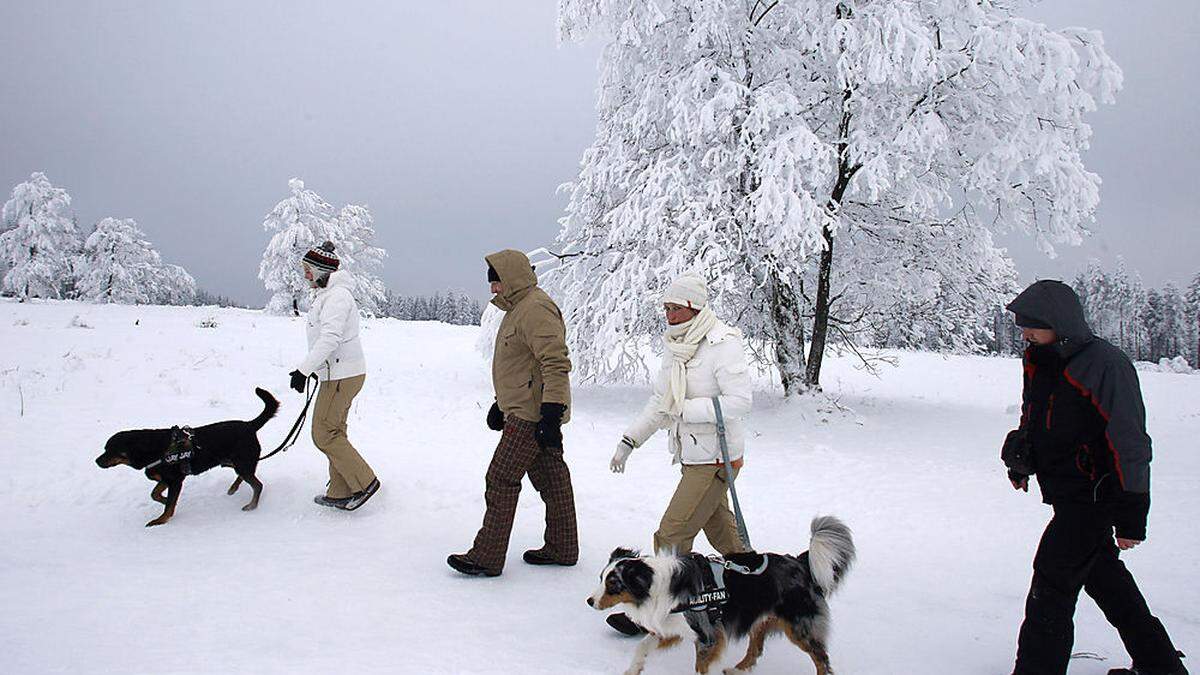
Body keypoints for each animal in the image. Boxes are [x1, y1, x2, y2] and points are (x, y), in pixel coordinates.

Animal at [96, 386, 280, 523]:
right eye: (105, 448)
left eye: (111, 450)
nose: (96, 461)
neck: (152, 448)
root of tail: (249, 425)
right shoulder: (167, 478)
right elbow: (155, 494)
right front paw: (164, 500)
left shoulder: (175, 480)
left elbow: (168, 505)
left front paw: (161, 520)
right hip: (233, 461)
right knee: (246, 475)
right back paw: (233, 488)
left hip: (241, 461)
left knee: (257, 485)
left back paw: (251, 505)